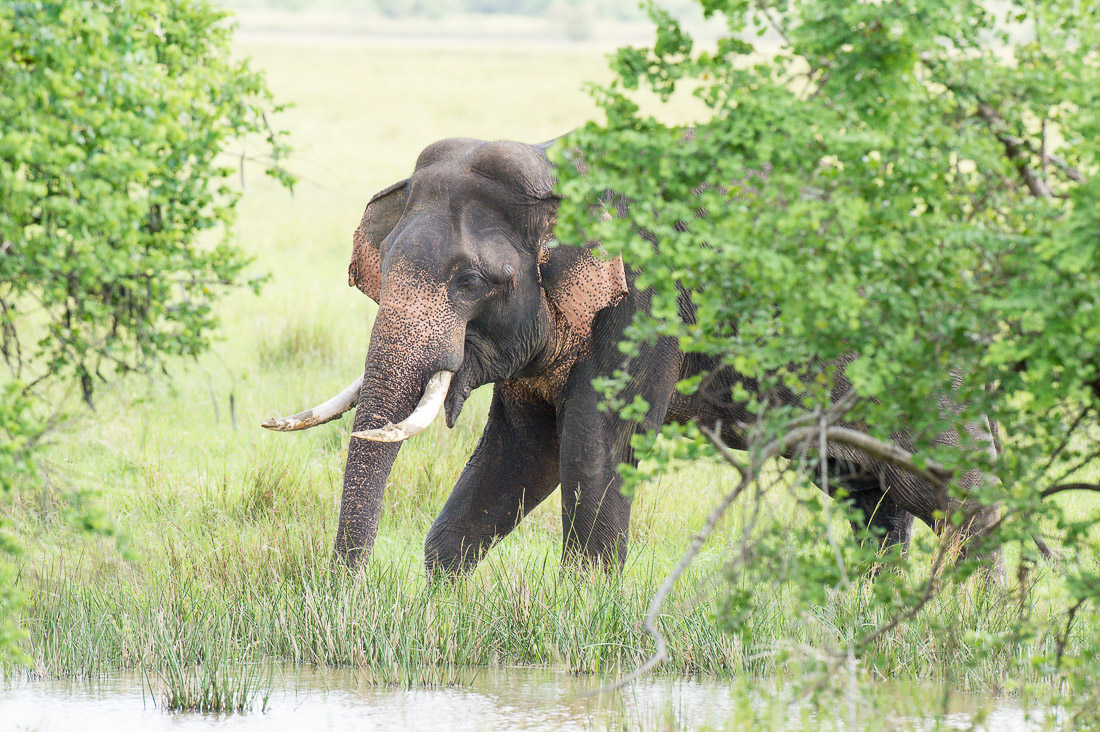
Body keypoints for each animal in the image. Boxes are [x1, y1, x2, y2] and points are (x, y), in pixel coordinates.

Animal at [261, 134, 1003, 572]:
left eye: (470, 281)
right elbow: (523, 446)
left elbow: (598, 441)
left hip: (932, 372)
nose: (346, 592)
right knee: (868, 495)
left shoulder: (648, 301)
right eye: (383, 269)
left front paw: (584, 612)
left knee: (956, 490)